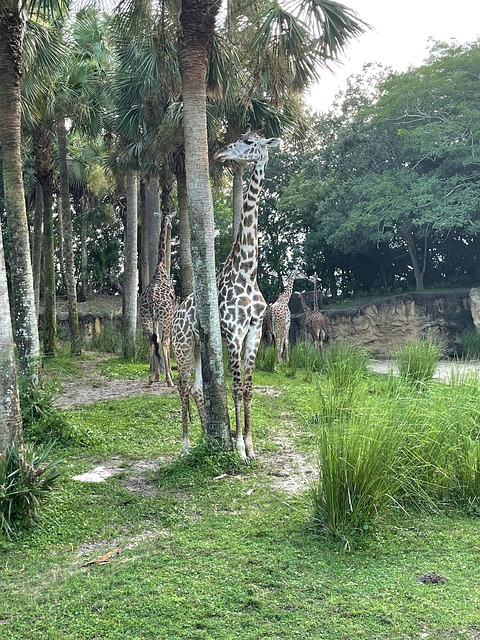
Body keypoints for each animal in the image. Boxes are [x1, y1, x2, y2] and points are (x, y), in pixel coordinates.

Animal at [172, 130, 281, 461]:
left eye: (248, 142)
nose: (220, 153)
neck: (247, 272)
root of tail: (176, 314)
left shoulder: (254, 331)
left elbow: (248, 388)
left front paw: (250, 445)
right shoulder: (233, 332)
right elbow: (234, 388)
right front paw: (240, 450)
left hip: (198, 345)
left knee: (196, 388)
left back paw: (206, 436)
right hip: (182, 345)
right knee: (182, 386)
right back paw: (185, 446)